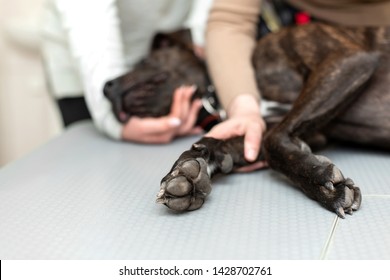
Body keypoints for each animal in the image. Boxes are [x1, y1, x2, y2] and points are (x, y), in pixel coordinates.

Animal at [103, 22, 390, 219]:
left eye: (143, 61)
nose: (105, 87)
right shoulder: (269, 128)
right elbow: (218, 142)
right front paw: (185, 171)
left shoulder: (347, 58)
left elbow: (273, 144)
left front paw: (324, 184)